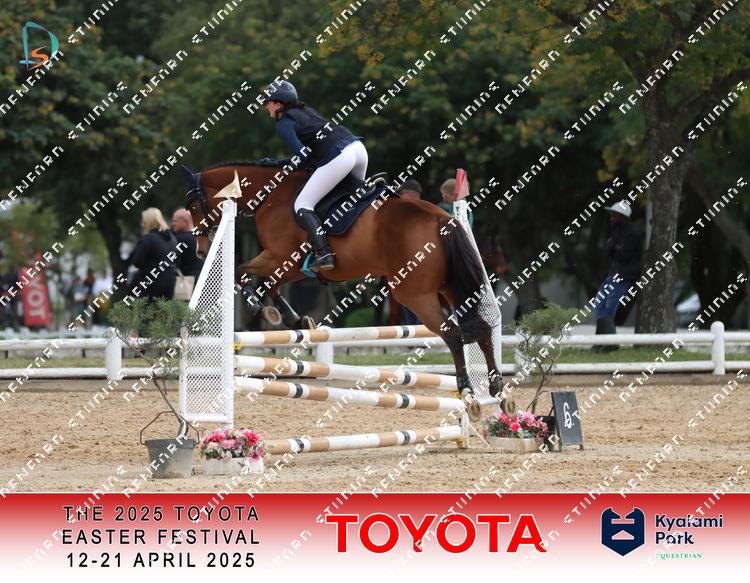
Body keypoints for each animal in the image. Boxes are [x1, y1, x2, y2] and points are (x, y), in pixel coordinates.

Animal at [180, 160, 514, 420]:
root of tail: (444, 220)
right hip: (448, 290)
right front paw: (294, 319)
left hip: (414, 295)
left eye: (193, 206)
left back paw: (468, 392)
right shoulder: (291, 266)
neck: (273, 196)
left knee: (453, 333)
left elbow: (242, 274)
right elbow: (268, 284)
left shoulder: (280, 258)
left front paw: (261, 307)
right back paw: (497, 390)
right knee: (482, 329)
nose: (200, 251)